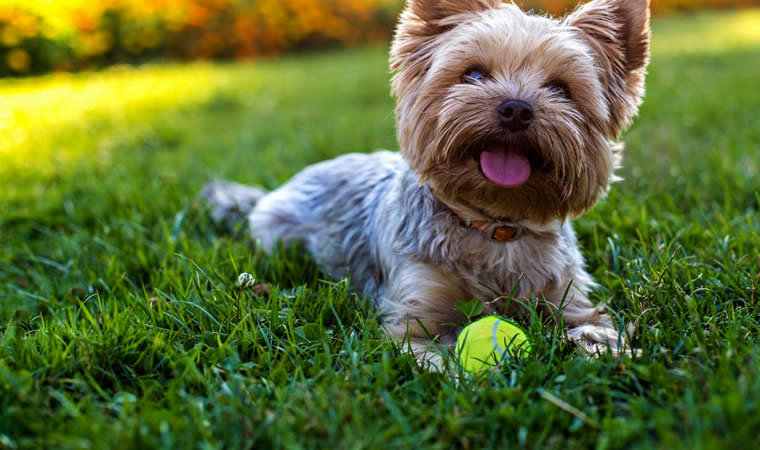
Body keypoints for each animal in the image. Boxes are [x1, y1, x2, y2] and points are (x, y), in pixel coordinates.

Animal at [205, 0, 652, 370]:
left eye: (561, 89)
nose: (516, 109)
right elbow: (436, 354)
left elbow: (593, 323)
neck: (495, 226)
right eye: (474, 74)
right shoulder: (415, 314)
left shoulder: (568, 297)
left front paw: (608, 350)